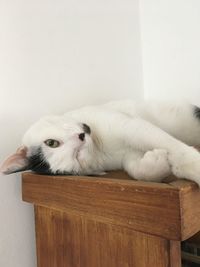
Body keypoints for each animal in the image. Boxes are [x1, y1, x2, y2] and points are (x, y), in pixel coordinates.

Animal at [1, 100, 200, 186]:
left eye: (51, 143)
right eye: (77, 157)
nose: (81, 136)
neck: (100, 147)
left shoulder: (131, 126)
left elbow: (174, 148)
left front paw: (193, 167)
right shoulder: (127, 157)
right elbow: (140, 171)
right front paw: (158, 162)